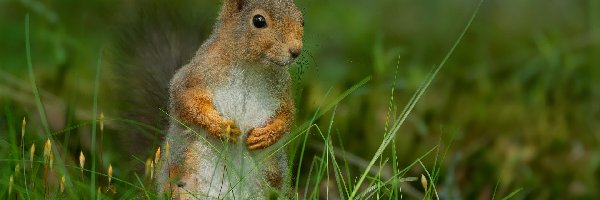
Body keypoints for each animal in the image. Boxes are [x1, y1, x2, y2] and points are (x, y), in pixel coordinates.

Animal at [112, 0, 302, 198]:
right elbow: (185, 100)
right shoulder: (196, 74)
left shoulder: (284, 90)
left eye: (301, 20)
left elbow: (287, 114)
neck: (252, 67)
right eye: (258, 21)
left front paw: (268, 134)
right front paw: (221, 127)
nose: (296, 50)